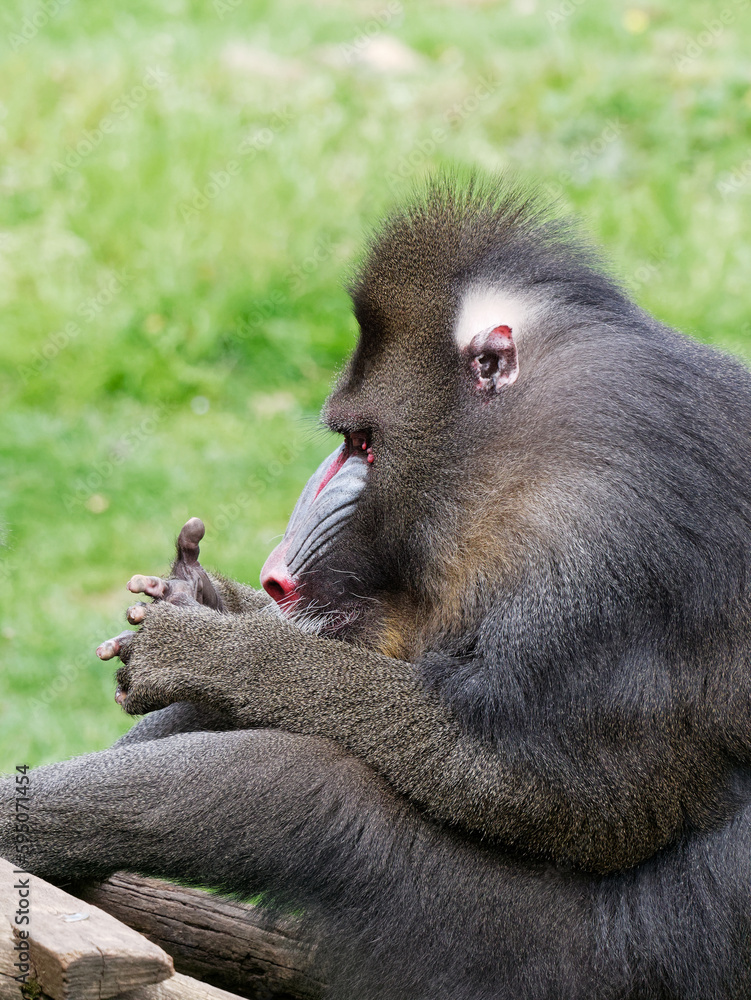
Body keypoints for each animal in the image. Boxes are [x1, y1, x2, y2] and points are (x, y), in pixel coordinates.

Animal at [2, 177, 751, 1000]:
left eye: (361, 442)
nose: (275, 570)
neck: (519, 449)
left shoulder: (604, 540)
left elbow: (579, 801)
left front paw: (214, 649)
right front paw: (212, 600)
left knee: (292, 784)